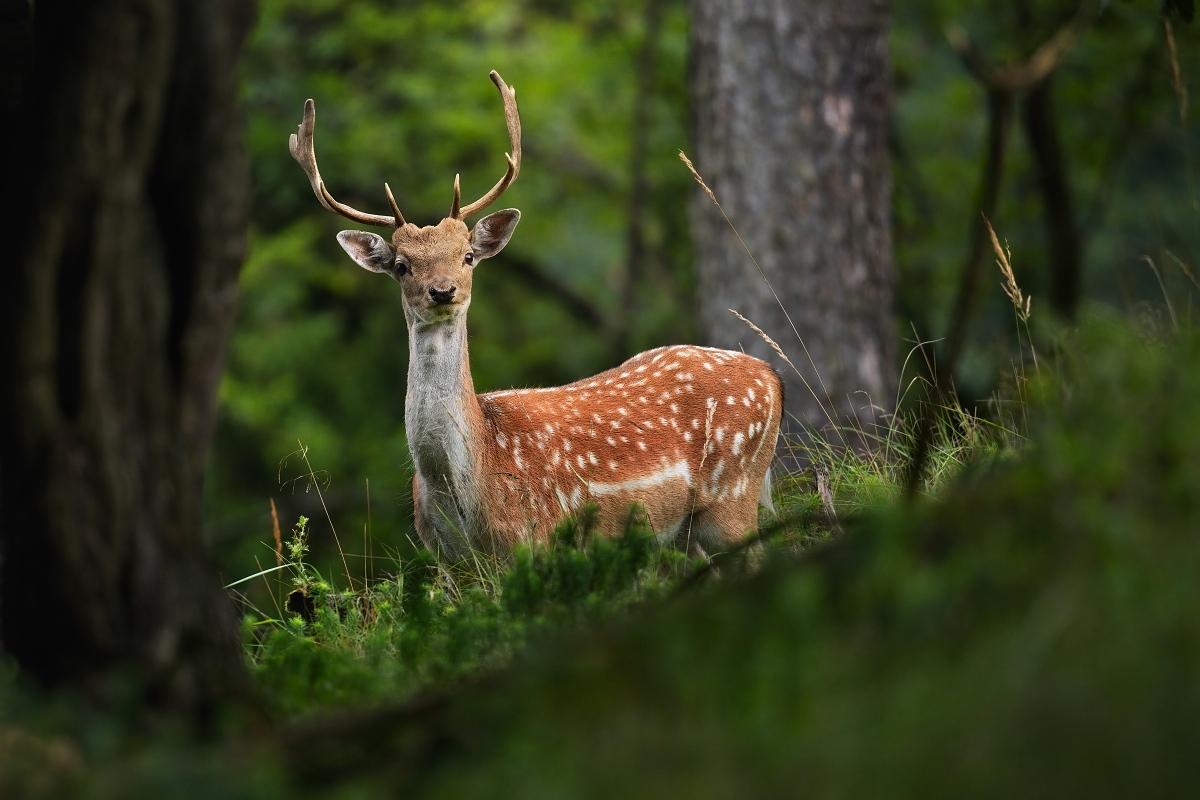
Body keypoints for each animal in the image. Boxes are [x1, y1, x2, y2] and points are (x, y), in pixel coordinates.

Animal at [289, 71, 777, 561]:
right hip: (691, 533)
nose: (442, 290)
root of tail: (771, 376)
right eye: (402, 266)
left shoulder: (534, 539)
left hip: (734, 499)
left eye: (468, 256)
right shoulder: (444, 558)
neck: (465, 487)